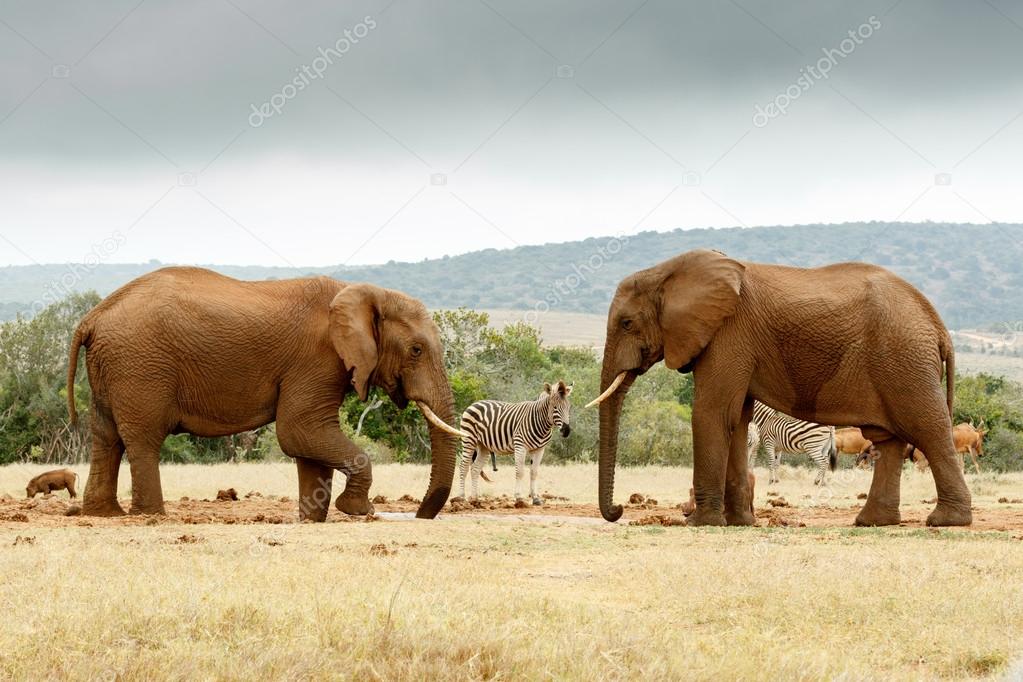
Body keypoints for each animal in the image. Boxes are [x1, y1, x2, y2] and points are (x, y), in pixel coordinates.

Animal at [65, 267, 462, 523]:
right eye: (416, 350)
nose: (420, 515)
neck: (362, 292)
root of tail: (92, 317)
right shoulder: (317, 359)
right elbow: (299, 431)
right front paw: (356, 510)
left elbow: (308, 442)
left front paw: (311, 520)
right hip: (140, 366)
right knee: (142, 439)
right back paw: (151, 516)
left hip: (114, 367)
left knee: (106, 436)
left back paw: (104, 514)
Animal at [589, 249, 969, 527]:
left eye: (627, 323)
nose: (619, 510)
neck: (667, 272)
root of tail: (939, 326)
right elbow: (738, 421)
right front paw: (740, 523)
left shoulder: (728, 333)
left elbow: (712, 413)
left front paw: (700, 523)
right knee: (888, 441)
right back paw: (872, 522)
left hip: (905, 359)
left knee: (928, 428)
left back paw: (945, 521)